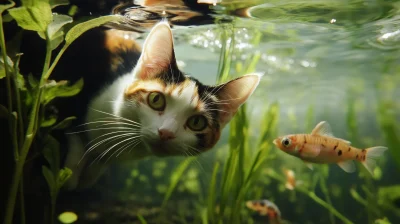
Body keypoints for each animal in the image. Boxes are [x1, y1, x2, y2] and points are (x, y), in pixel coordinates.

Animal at [61, 20, 262, 190]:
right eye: (156, 100)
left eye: (197, 122)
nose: (166, 133)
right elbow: (74, 134)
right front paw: (70, 176)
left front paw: (89, 175)